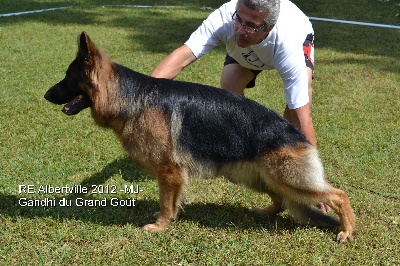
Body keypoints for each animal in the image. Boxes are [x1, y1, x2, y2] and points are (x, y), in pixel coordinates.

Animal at [43, 32, 356, 242]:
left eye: (68, 77)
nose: (45, 95)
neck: (132, 99)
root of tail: (299, 135)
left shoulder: (169, 172)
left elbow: (166, 202)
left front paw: (161, 226)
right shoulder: (171, 175)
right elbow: (169, 202)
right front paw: (164, 220)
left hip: (288, 179)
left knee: (338, 195)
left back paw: (347, 230)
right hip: (260, 177)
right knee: (280, 200)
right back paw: (266, 211)